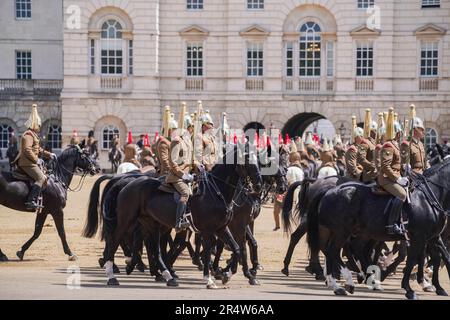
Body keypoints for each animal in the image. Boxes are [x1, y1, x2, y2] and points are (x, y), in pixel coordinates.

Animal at [308, 160, 450, 300]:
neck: (429, 197)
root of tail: (329, 190)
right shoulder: (418, 237)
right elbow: (411, 260)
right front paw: (409, 290)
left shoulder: (433, 237)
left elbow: (440, 258)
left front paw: (438, 287)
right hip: (342, 231)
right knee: (334, 251)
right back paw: (346, 282)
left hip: (350, 232)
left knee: (340, 250)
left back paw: (346, 282)